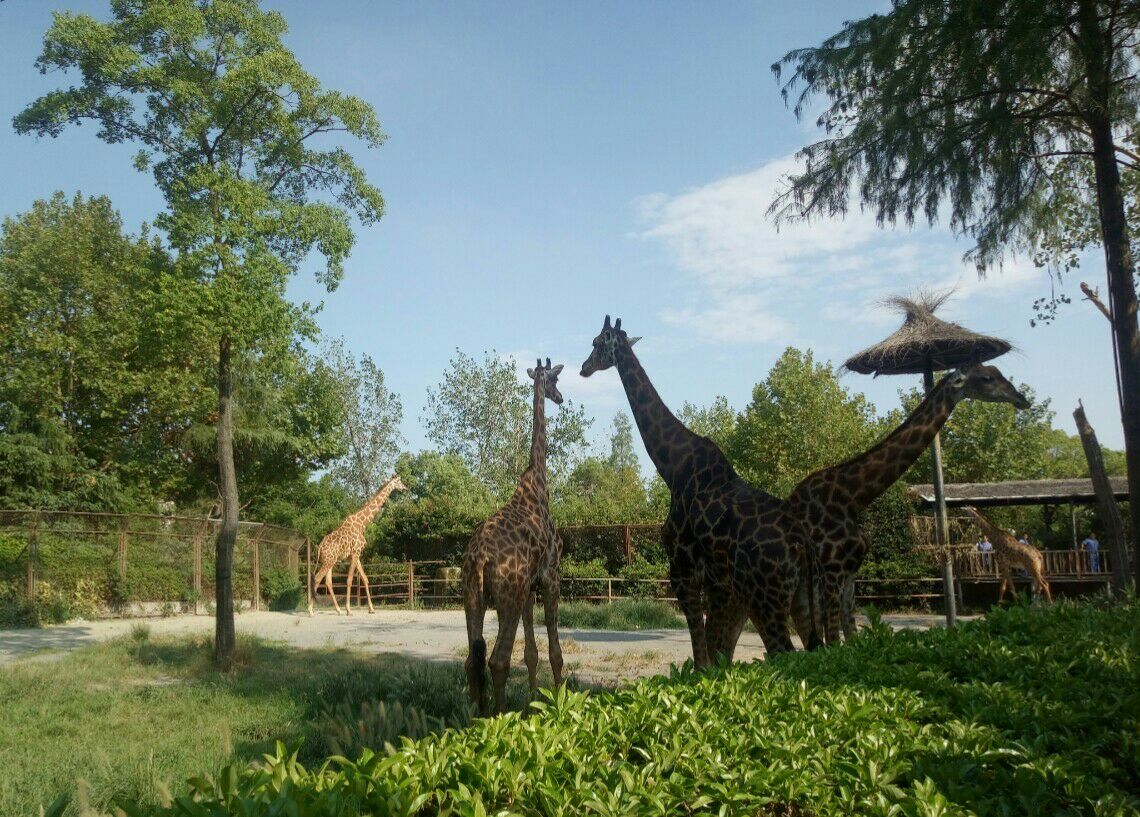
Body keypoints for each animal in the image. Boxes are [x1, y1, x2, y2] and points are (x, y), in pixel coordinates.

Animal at [307, 474, 405, 615]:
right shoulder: (355, 553)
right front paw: (349, 609)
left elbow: (364, 578)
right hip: (327, 562)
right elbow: (349, 580)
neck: (362, 524)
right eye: (398, 481)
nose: (405, 488)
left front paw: (371, 609)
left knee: (328, 582)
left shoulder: (355, 555)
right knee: (317, 579)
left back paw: (338, 610)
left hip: (329, 561)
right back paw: (311, 610)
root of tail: (319, 548)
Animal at [462, 357, 565, 715]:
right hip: (507, 596)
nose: (561, 398)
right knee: (497, 661)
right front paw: (560, 701)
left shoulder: (529, 588)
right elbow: (554, 653)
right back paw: (499, 718)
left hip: (474, 598)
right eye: (555, 380)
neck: (537, 483)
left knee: (473, 659)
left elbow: (531, 653)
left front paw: (535, 701)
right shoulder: (549, 577)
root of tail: (480, 557)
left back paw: (477, 718)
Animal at [579, 314, 820, 665]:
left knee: (785, 653)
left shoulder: (682, 569)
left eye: (597, 342)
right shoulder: (718, 582)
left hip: (767, 596)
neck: (672, 468)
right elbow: (714, 655)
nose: (584, 367)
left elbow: (700, 654)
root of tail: (802, 543)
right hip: (801, 596)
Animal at [788, 362, 1030, 642]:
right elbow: (835, 638)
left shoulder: (850, 572)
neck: (851, 497)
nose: (1021, 399)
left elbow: (849, 634)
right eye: (986, 378)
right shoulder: (832, 570)